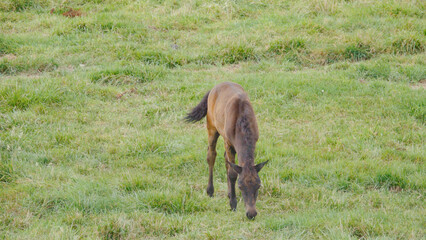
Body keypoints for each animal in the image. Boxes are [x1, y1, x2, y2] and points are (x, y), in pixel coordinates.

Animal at [186, 82, 268, 219]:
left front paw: (231, 197)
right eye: (240, 186)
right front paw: (233, 204)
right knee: (211, 154)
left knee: (225, 159)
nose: (251, 214)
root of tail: (213, 88)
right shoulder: (228, 142)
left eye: (258, 185)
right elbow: (232, 173)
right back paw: (210, 191)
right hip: (211, 126)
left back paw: (228, 192)